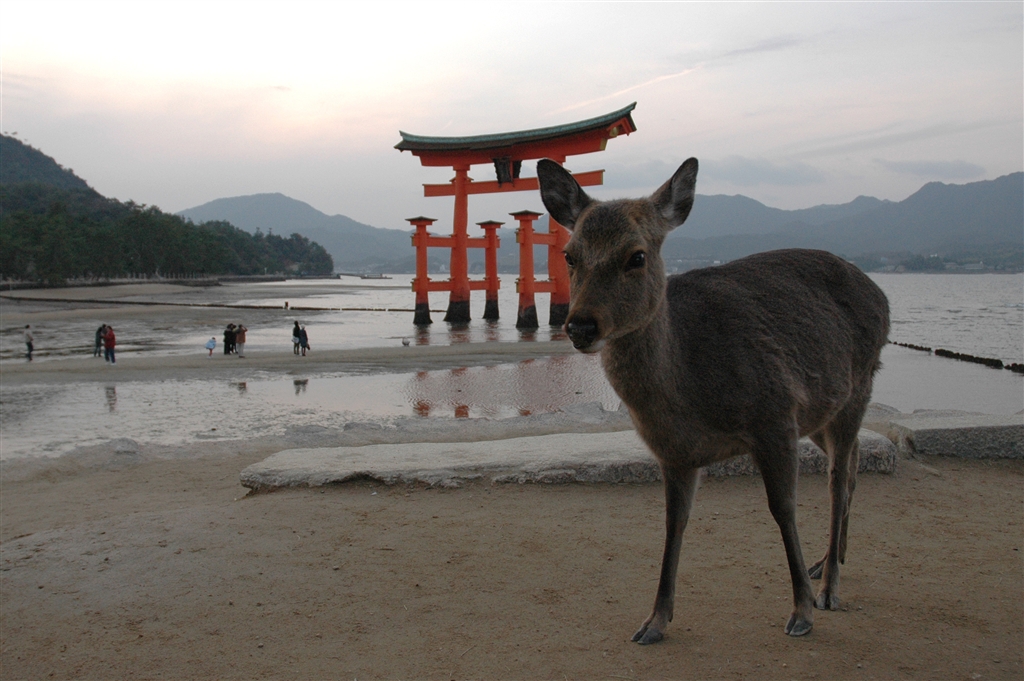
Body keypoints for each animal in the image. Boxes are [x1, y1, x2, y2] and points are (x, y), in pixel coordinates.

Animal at [536, 157, 890, 644]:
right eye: (570, 255)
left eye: (637, 256)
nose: (580, 326)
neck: (692, 395)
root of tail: (882, 294)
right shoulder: (674, 452)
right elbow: (673, 523)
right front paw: (654, 620)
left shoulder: (776, 414)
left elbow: (783, 509)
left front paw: (800, 611)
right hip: (822, 414)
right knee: (852, 466)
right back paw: (829, 560)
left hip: (859, 387)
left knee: (839, 480)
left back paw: (829, 589)